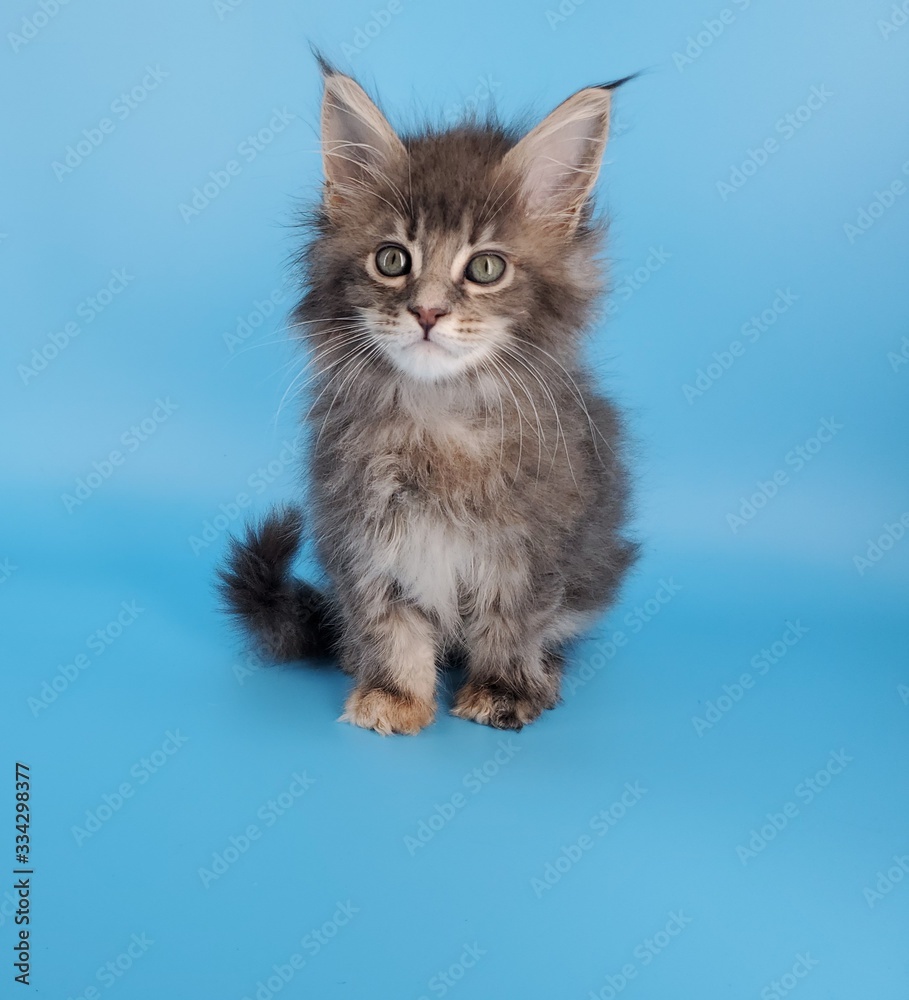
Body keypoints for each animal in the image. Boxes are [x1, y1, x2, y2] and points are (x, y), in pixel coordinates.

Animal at [218, 60, 640, 736]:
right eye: (393, 260)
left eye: (486, 268)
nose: (427, 311)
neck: (439, 416)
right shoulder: (363, 531)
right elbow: (389, 620)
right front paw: (394, 695)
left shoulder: (534, 545)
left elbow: (511, 621)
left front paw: (503, 689)